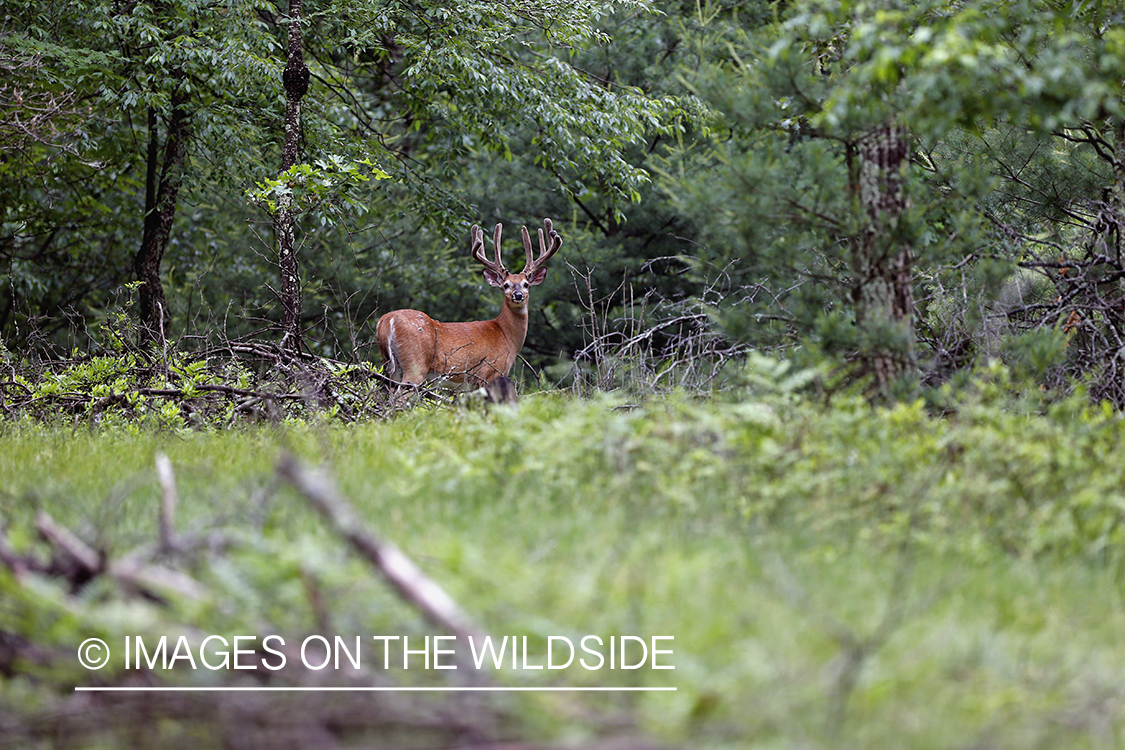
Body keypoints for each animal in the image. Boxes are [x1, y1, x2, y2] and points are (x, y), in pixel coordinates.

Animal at [378, 217, 562, 393]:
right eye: (506, 285)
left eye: (526, 284)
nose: (518, 295)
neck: (506, 335)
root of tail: (386, 321)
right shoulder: (489, 372)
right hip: (415, 364)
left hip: (392, 366)